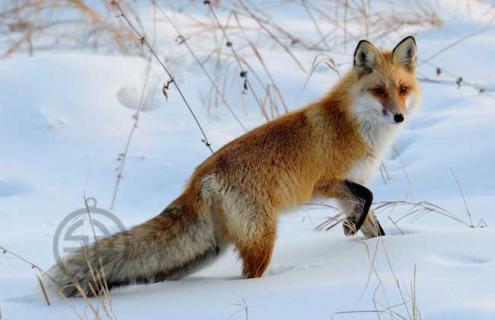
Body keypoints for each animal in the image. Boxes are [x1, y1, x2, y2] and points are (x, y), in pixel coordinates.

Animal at [49, 36, 422, 296]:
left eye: (403, 89)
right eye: (378, 90)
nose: (399, 117)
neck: (354, 124)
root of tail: (199, 176)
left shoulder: (347, 190)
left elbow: (370, 218)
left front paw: (375, 245)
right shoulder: (325, 183)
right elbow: (368, 196)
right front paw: (348, 229)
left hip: (219, 245)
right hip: (262, 238)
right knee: (249, 276)